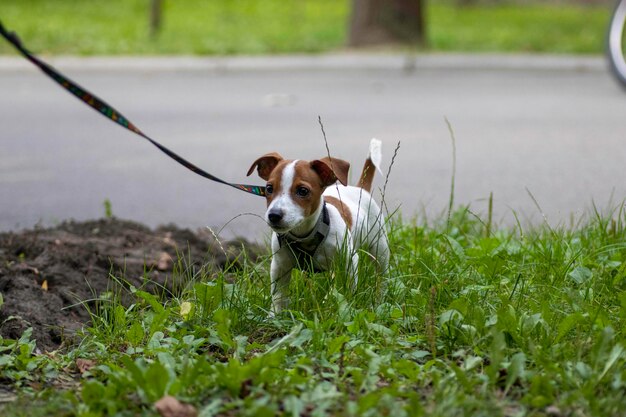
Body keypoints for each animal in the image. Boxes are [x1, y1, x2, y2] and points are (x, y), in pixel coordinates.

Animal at [247, 139, 386, 312]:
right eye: (269, 188)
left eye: (303, 191)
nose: (274, 215)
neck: (307, 234)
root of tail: (360, 188)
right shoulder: (279, 266)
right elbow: (278, 296)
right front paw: (274, 315)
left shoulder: (349, 261)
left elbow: (348, 290)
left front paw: (347, 306)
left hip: (380, 246)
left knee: (382, 276)